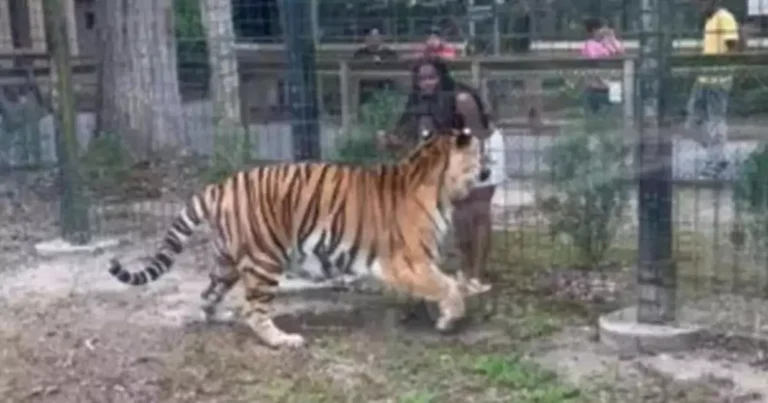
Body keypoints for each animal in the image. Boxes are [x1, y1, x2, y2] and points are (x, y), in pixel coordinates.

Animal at [106, 128, 492, 348]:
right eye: (480, 153)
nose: (489, 169)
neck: (438, 182)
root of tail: (220, 186)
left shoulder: (418, 263)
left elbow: (439, 285)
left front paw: (433, 314)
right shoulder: (406, 260)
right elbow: (447, 286)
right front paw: (449, 319)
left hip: (226, 262)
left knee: (208, 294)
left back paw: (218, 318)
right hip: (264, 260)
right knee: (253, 310)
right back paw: (283, 340)